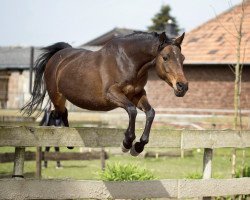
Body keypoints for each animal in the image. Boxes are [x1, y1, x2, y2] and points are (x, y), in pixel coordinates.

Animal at [22, 31, 188, 156]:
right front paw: (127, 143)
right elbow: (132, 111)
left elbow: (150, 113)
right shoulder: (112, 94)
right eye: (165, 57)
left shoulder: (137, 95)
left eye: (182, 58)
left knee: (61, 113)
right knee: (57, 113)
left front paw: (138, 146)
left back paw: (69, 142)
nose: (183, 86)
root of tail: (58, 56)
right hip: (57, 96)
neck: (128, 61)